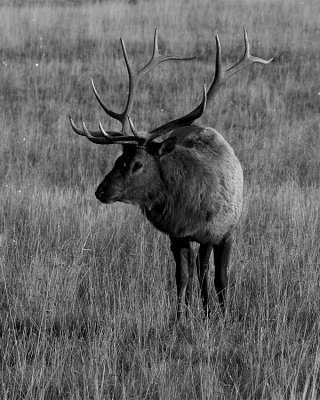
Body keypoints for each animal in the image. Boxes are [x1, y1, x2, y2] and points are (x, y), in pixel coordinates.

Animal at [69, 29, 272, 320]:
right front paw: (180, 318)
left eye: (137, 164)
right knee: (196, 269)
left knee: (205, 268)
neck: (194, 207)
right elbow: (182, 277)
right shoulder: (177, 235)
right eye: (118, 159)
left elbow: (221, 279)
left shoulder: (226, 231)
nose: (101, 190)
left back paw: (209, 310)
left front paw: (223, 317)